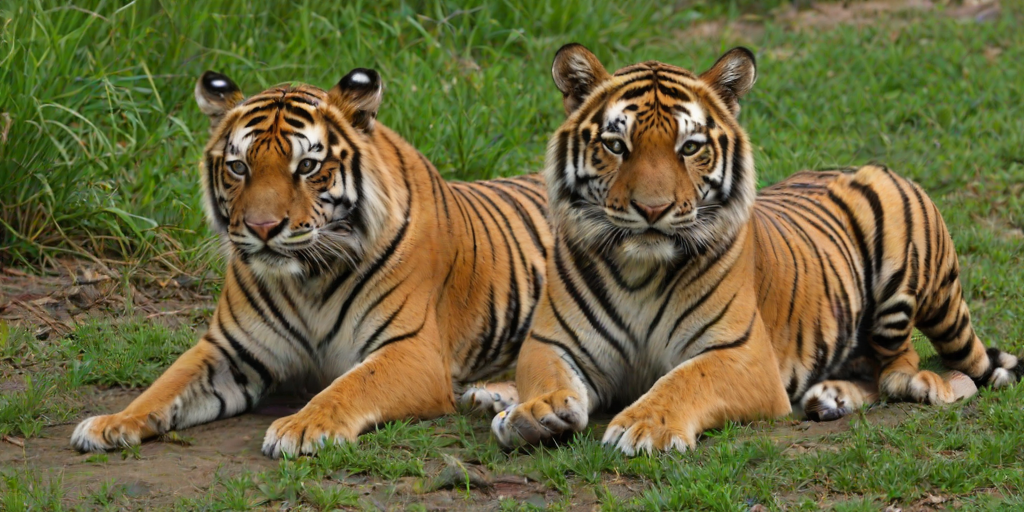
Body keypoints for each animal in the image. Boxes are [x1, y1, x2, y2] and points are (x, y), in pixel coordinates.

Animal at [70, 67, 551, 458]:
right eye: (239, 167)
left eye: (306, 166)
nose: (263, 227)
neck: (308, 279)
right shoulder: (229, 348)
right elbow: (164, 386)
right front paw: (111, 423)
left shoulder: (411, 349)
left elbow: (349, 387)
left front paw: (298, 427)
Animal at [490, 44, 1023, 454]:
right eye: (616, 145)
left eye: (689, 147)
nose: (653, 209)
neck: (641, 268)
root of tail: (863, 165)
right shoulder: (550, 342)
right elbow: (546, 376)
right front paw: (534, 411)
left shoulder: (741, 353)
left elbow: (683, 379)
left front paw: (642, 426)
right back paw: (830, 397)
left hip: (898, 277)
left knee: (906, 363)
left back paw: (913, 385)